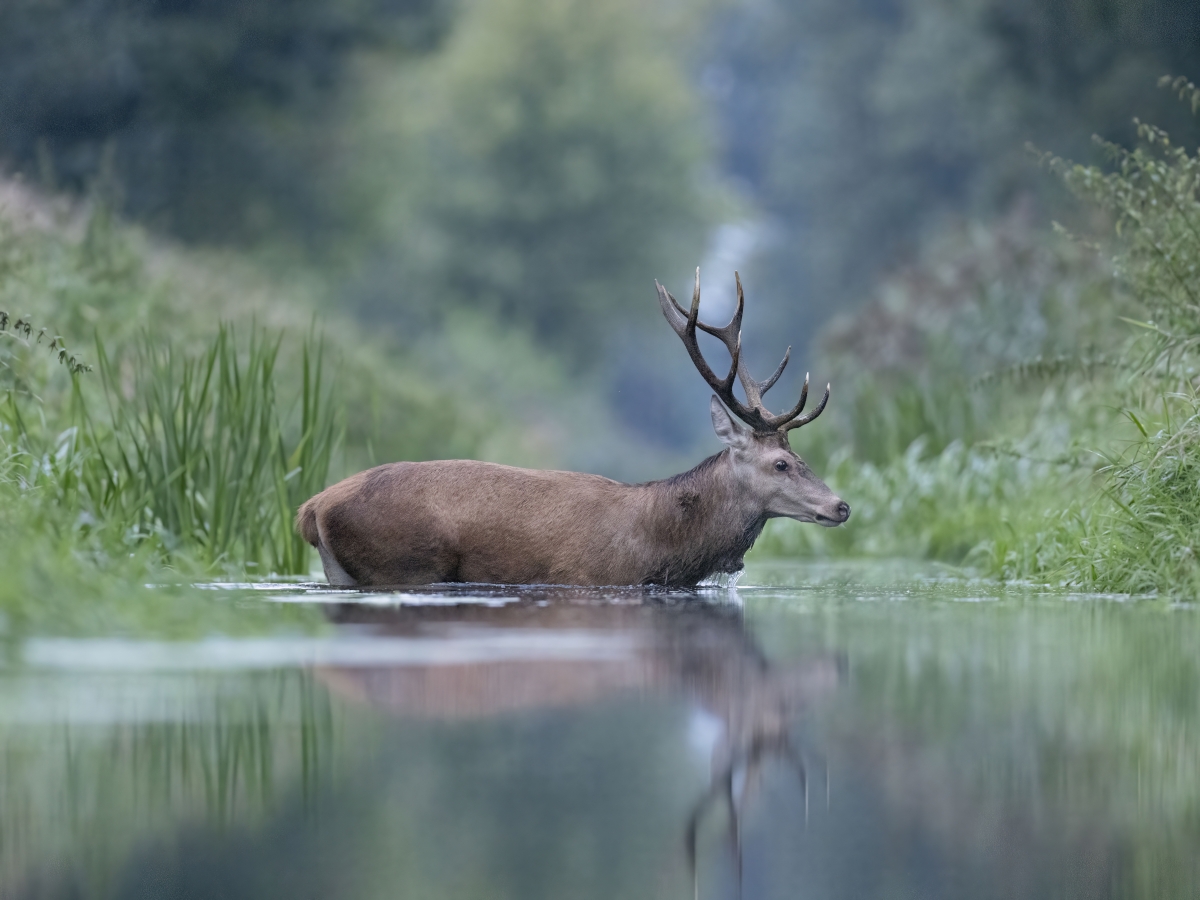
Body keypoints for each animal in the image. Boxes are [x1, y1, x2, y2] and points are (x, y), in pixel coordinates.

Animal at [296, 271, 850, 587]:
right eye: (781, 463)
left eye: (800, 458)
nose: (841, 505)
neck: (659, 546)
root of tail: (312, 507)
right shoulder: (589, 576)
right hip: (403, 562)